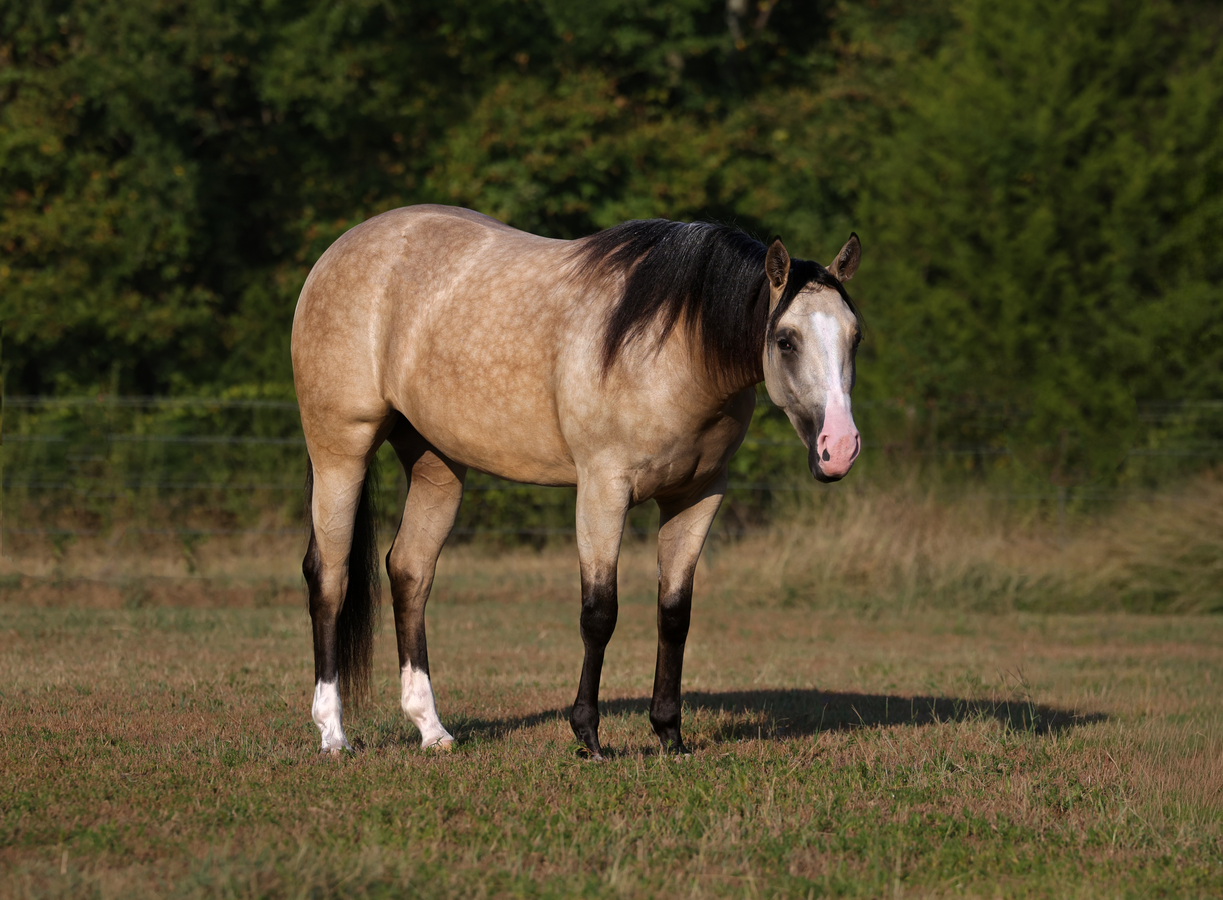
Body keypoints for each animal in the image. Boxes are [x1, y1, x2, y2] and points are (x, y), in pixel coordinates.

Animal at [291, 205, 862, 759]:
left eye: (856, 337)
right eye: (785, 340)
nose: (839, 448)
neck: (674, 345)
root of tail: (338, 253)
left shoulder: (697, 496)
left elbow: (674, 614)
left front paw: (670, 735)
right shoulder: (603, 490)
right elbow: (600, 613)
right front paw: (587, 736)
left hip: (436, 465)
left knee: (410, 571)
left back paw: (432, 730)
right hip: (341, 450)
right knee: (330, 577)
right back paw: (332, 734)